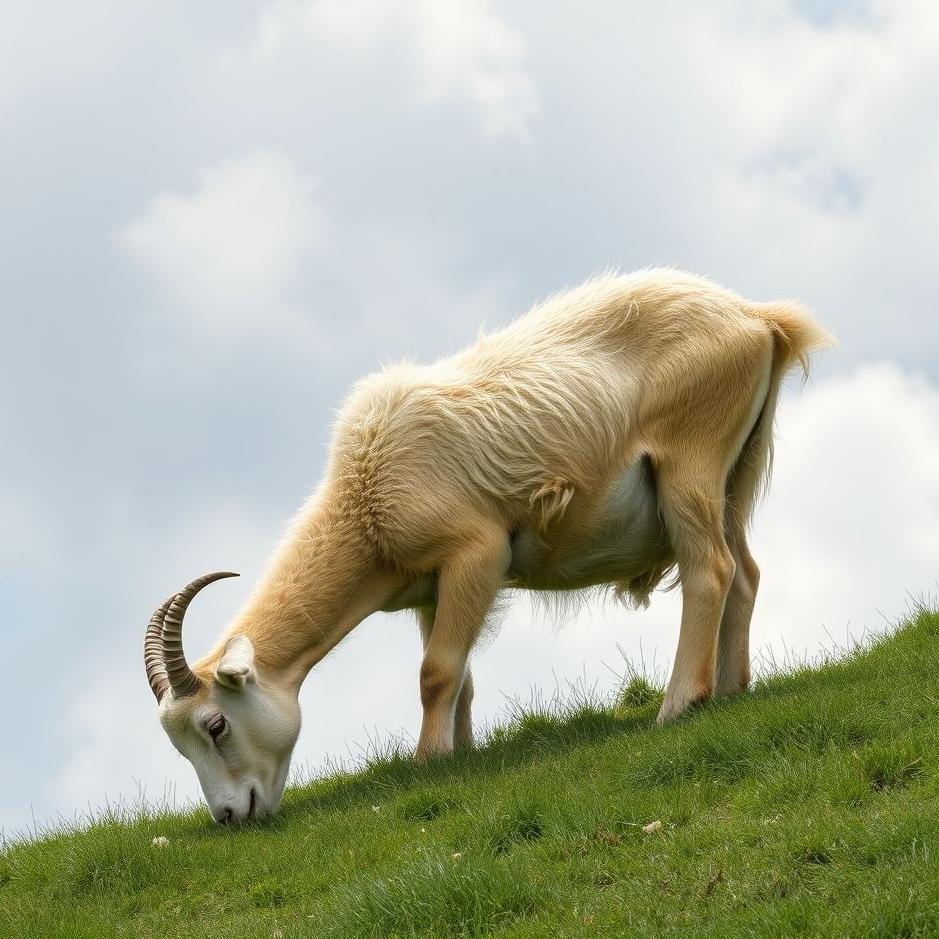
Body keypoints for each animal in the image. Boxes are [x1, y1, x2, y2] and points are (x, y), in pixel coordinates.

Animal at [144, 268, 833, 824]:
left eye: (214, 723)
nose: (231, 816)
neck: (365, 499)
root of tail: (758, 318)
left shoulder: (476, 553)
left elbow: (436, 672)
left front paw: (427, 762)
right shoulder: (432, 589)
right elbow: (459, 677)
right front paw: (462, 754)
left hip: (689, 460)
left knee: (708, 569)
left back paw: (680, 704)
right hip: (732, 475)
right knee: (744, 572)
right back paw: (732, 689)